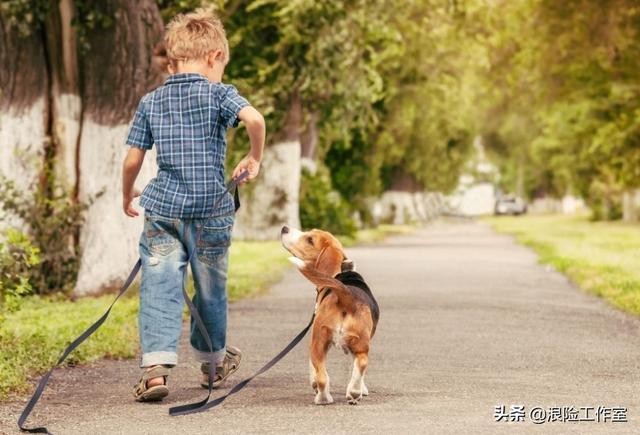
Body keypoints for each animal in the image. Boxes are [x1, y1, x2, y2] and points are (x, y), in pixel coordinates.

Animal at [282, 227, 380, 408]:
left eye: (310, 240)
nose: (284, 228)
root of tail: (347, 295)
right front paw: (362, 390)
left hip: (317, 343)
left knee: (322, 377)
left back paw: (323, 398)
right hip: (360, 345)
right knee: (361, 363)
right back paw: (353, 393)